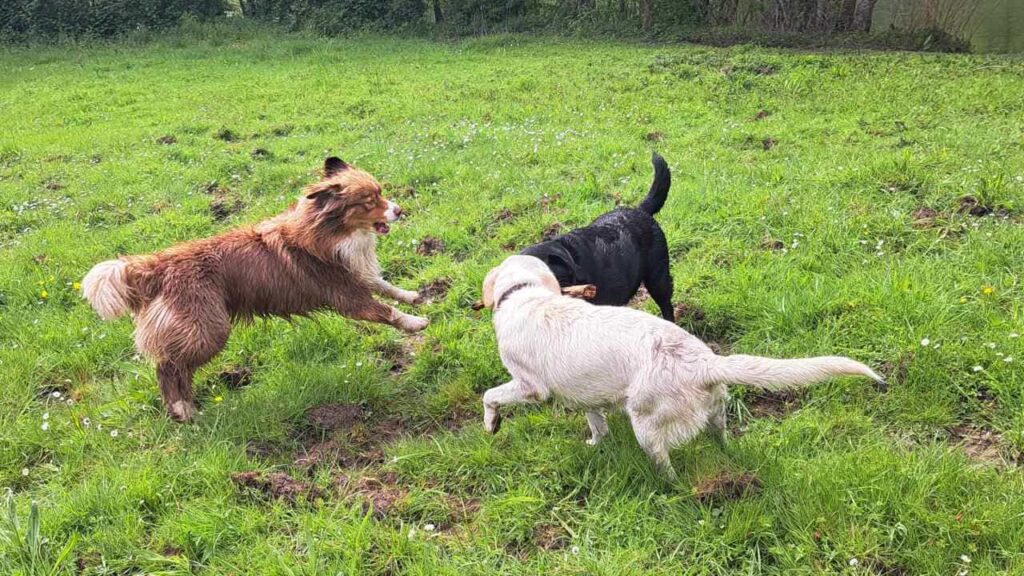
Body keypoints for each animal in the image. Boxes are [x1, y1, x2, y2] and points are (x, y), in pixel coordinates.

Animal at [81, 156, 428, 422]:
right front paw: (415, 322)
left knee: (179, 369)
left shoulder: (356, 273)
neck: (328, 231)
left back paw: (189, 408)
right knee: (168, 366)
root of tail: (156, 264)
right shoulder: (345, 293)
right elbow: (385, 310)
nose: (400, 210)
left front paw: (413, 296)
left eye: (381, 193)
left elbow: (384, 285)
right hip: (208, 329)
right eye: (369, 201)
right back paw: (182, 409)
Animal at [475, 255, 884, 479]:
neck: (523, 293)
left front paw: (492, 424)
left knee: (668, 470)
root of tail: (705, 362)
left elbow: (490, 396)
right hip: (715, 414)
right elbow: (597, 423)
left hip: (646, 426)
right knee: (722, 440)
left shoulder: (530, 387)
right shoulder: (586, 395)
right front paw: (595, 443)